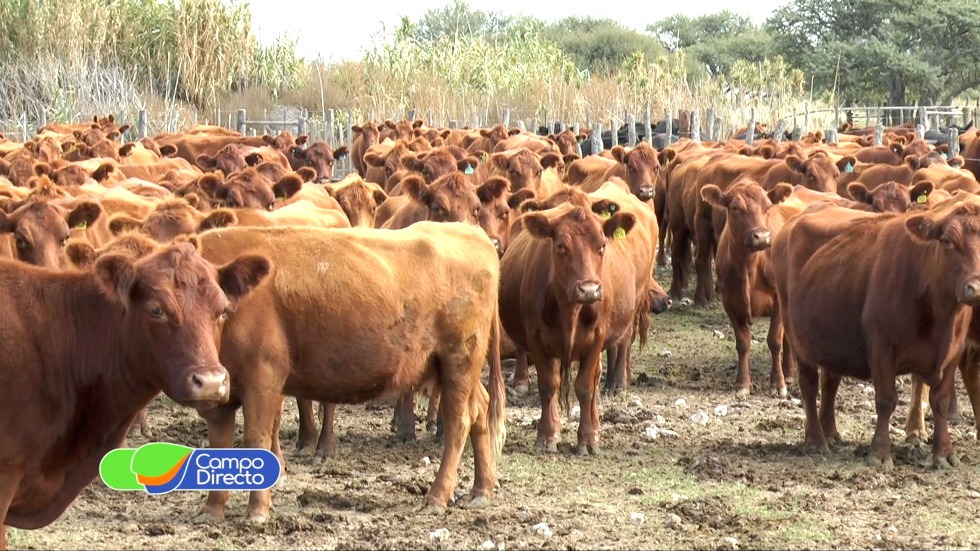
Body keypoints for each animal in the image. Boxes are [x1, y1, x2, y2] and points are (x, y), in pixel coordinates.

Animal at [190, 224, 505, 522]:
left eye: (220, 309)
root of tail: (474, 233)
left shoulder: (262, 380)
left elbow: (257, 437)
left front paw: (256, 511)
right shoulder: (222, 395)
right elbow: (220, 444)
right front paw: (211, 511)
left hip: (458, 362)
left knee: (459, 421)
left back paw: (437, 497)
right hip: (454, 370)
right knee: (480, 410)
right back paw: (481, 491)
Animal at [773, 197, 980, 469]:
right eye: (947, 241)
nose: (975, 287)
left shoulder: (954, 351)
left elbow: (941, 401)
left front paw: (944, 452)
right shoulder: (882, 347)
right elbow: (886, 399)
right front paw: (880, 452)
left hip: (833, 340)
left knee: (830, 383)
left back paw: (830, 432)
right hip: (798, 337)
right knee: (809, 385)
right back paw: (816, 440)